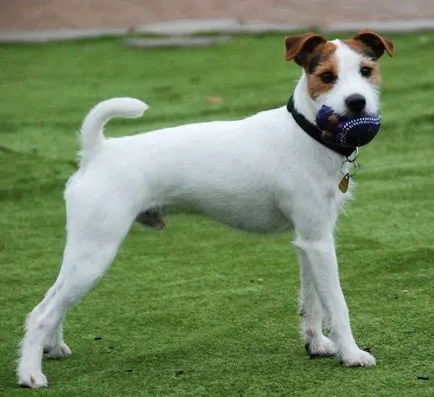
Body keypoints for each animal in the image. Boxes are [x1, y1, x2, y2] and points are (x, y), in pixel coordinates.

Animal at [17, 28, 394, 386]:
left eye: (366, 70)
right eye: (327, 76)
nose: (357, 102)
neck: (308, 132)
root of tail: (96, 151)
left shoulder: (311, 240)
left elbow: (313, 302)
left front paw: (316, 344)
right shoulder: (318, 244)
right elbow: (337, 304)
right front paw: (352, 354)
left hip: (84, 252)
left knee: (53, 299)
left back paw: (54, 347)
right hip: (96, 252)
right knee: (41, 313)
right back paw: (30, 375)